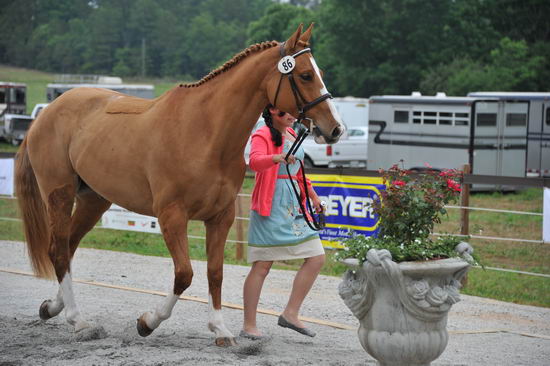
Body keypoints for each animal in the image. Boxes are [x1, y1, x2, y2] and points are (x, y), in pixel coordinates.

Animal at [15, 23, 342, 346]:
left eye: (319, 72)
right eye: (305, 75)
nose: (335, 129)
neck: (205, 132)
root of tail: (47, 111)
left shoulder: (220, 217)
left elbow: (215, 272)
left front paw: (220, 329)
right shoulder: (172, 216)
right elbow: (184, 274)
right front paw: (148, 322)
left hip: (94, 199)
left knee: (69, 247)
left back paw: (53, 307)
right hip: (59, 194)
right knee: (58, 250)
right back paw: (78, 321)